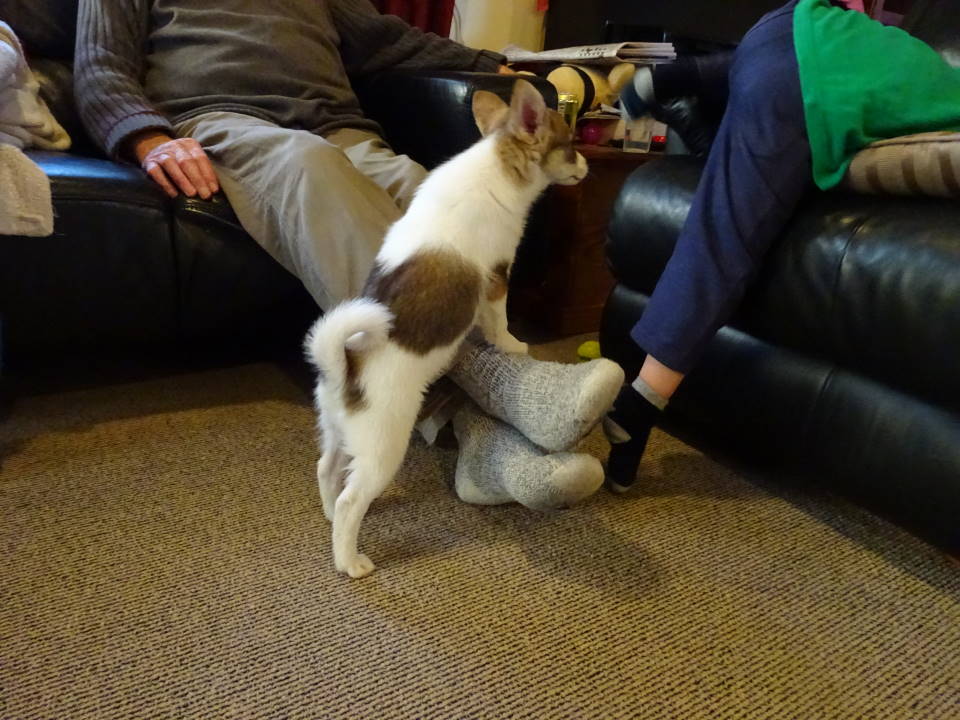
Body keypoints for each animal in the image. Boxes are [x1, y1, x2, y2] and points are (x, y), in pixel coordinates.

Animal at [304, 79, 588, 578]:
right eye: (570, 146)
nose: (588, 164)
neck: (497, 162)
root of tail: (346, 368)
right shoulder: (496, 278)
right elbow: (499, 321)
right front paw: (512, 343)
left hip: (338, 429)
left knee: (327, 469)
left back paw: (326, 513)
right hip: (384, 447)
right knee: (352, 500)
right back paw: (350, 560)